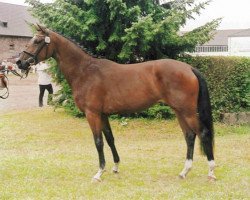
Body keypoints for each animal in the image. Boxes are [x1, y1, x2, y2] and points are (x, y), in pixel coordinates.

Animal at [16, 24, 216, 181]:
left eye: (37, 41)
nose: (19, 62)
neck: (85, 71)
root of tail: (189, 68)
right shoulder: (103, 114)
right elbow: (110, 139)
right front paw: (115, 167)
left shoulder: (92, 114)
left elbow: (98, 141)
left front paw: (99, 173)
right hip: (179, 110)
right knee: (189, 136)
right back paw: (184, 171)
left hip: (187, 111)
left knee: (203, 133)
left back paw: (211, 172)